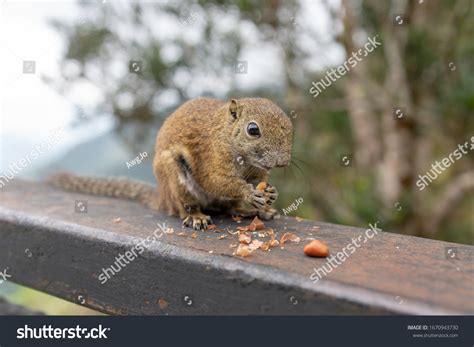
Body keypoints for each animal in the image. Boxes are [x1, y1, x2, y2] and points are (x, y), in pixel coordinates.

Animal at [49, 96, 292, 230]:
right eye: (253, 129)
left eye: (290, 126)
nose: (282, 162)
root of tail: (163, 198)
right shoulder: (210, 157)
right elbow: (215, 181)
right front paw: (249, 192)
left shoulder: (257, 171)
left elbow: (259, 180)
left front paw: (270, 193)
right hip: (175, 178)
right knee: (185, 208)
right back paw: (195, 216)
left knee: (230, 208)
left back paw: (253, 212)